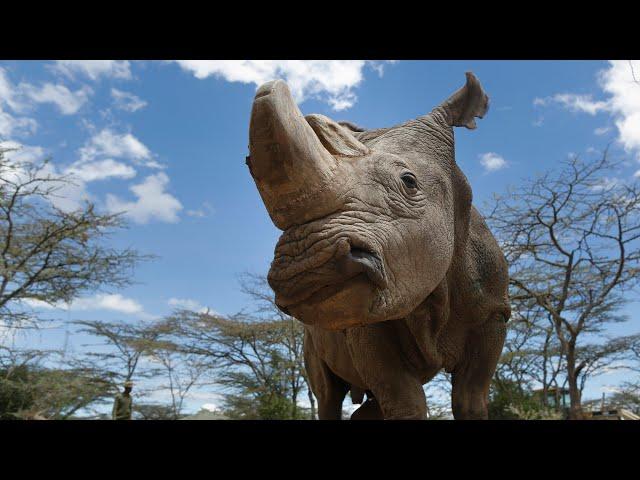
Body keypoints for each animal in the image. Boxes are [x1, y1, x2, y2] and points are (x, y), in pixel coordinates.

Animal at [245, 72, 510, 420]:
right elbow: (405, 400)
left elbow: (471, 399)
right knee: (328, 393)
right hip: (311, 336)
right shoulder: (364, 319)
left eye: (409, 182)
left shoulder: (494, 313)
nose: (306, 270)